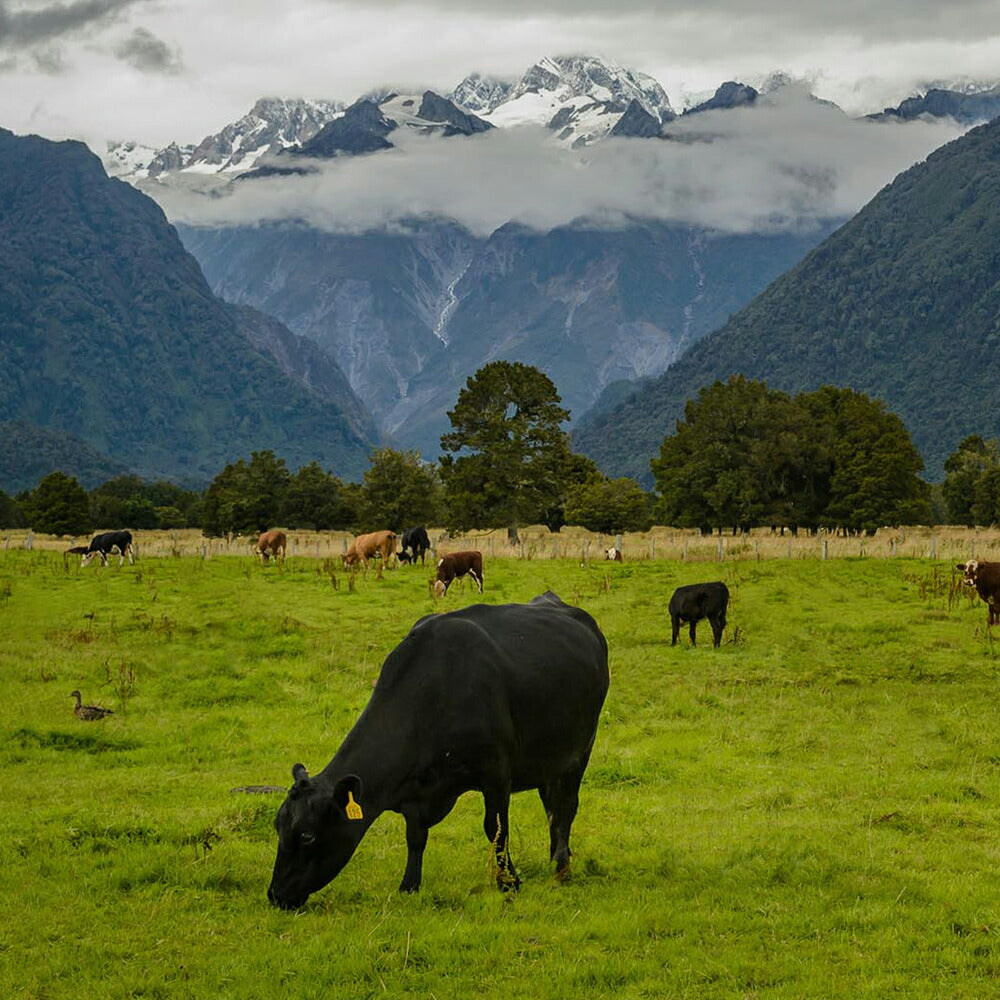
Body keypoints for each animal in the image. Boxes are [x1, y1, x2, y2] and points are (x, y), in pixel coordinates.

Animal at [268, 588, 608, 912]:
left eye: (307, 835)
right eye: (277, 827)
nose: (276, 895)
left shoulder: (497, 773)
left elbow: (496, 829)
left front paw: (508, 882)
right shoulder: (415, 792)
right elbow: (415, 836)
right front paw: (409, 885)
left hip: (581, 748)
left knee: (566, 807)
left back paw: (561, 867)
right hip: (548, 759)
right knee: (551, 806)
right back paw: (556, 858)